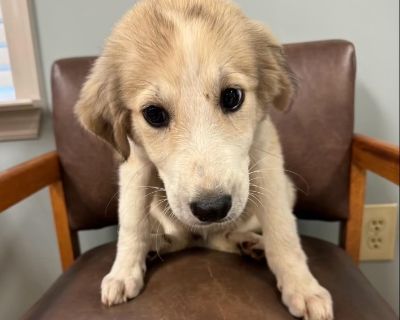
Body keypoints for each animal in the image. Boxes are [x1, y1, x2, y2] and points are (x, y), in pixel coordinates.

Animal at [75, 0, 334, 318]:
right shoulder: (135, 164)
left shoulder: (265, 153)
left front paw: (303, 287)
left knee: (223, 236)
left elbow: (282, 229)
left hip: (286, 188)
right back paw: (157, 245)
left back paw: (250, 243)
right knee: (180, 239)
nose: (212, 209)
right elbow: (132, 223)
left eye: (232, 96)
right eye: (154, 114)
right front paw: (123, 273)